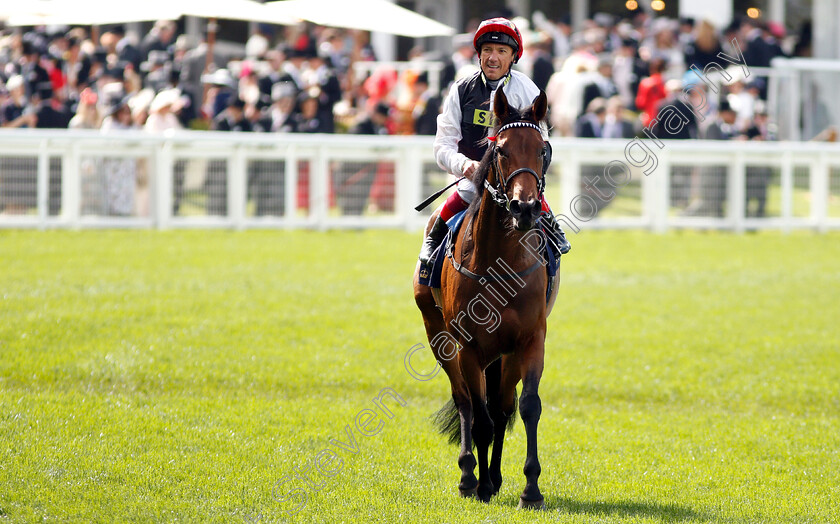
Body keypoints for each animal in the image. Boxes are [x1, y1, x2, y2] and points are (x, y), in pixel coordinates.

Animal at [412, 88, 556, 510]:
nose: (525, 207)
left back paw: (493, 476)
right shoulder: (468, 346)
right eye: (502, 150)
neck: (498, 263)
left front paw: (530, 489)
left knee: (502, 405)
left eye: (543, 150)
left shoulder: (530, 340)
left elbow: (526, 407)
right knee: (466, 402)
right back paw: (470, 476)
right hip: (438, 337)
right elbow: (479, 414)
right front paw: (477, 483)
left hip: (504, 355)